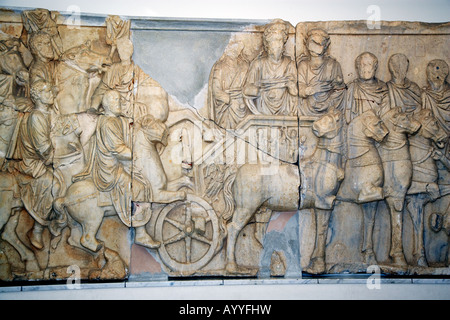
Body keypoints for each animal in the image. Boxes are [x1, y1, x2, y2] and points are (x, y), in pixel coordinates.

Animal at [225, 109, 352, 272]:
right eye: (325, 117)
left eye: (332, 119)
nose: (315, 127)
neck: (325, 163)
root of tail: (237, 172)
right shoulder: (324, 202)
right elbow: (322, 231)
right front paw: (318, 265)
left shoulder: (324, 203)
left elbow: (320, 230)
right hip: (246, 207)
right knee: (233, 228)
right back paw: (233, 267)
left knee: (254, 233)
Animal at [338, 110, 390, 264]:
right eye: (377, 123)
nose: (386, 134)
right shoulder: (366, 192)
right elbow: (380, 192)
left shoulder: (369, 203)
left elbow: (369, 222)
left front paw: (369, 254)